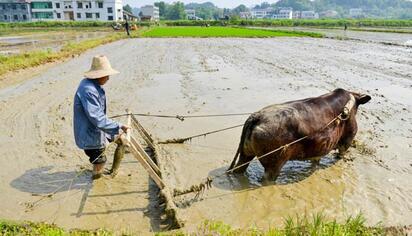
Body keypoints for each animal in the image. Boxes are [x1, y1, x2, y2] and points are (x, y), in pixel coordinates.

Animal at [229, 89, 370, 181]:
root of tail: (256, 117)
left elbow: (316, 161)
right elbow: (341, 153)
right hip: (274, 164)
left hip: (245, 155)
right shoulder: (347, 139)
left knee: (239, 169)